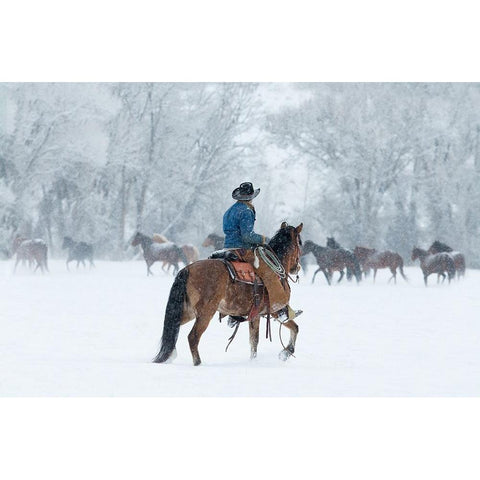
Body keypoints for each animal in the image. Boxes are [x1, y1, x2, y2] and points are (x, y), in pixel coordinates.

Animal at [154, 223, 304, 366]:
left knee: (173, 327)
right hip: (205, 313)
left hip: (188, 311)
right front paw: (285, 353)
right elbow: (295, 328)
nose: (297, 268)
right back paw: (198, 363)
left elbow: (254, 341)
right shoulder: (274, 311)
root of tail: (187, 269)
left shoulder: (255, 315)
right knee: (193, 337)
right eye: (299, 244)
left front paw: (253, 362)